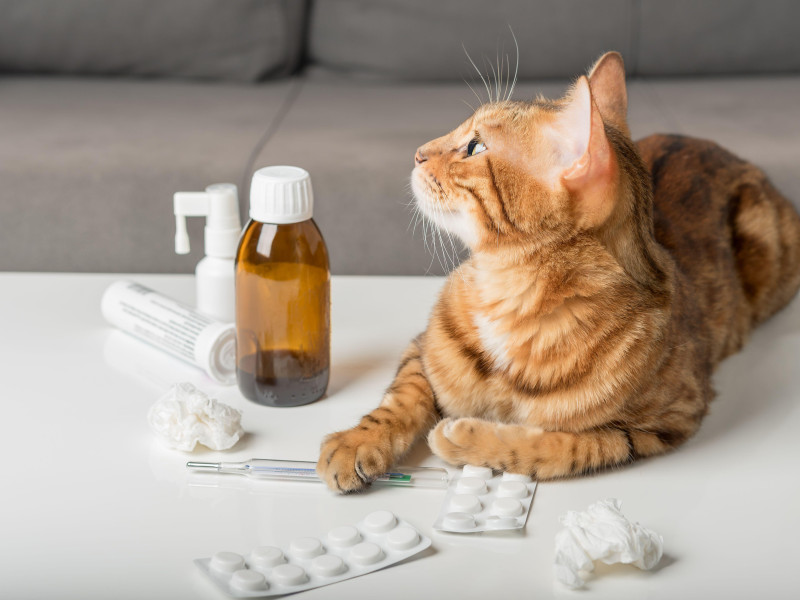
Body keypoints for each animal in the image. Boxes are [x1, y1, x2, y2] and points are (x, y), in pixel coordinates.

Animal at [314, 51, 800, 492]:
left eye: (475, 147)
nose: (416, 153)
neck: (508, 290)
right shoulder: (423, 349)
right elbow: (402, 396)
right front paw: (356, 442)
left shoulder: (665, 421)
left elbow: (563, 446)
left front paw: (465, 436)